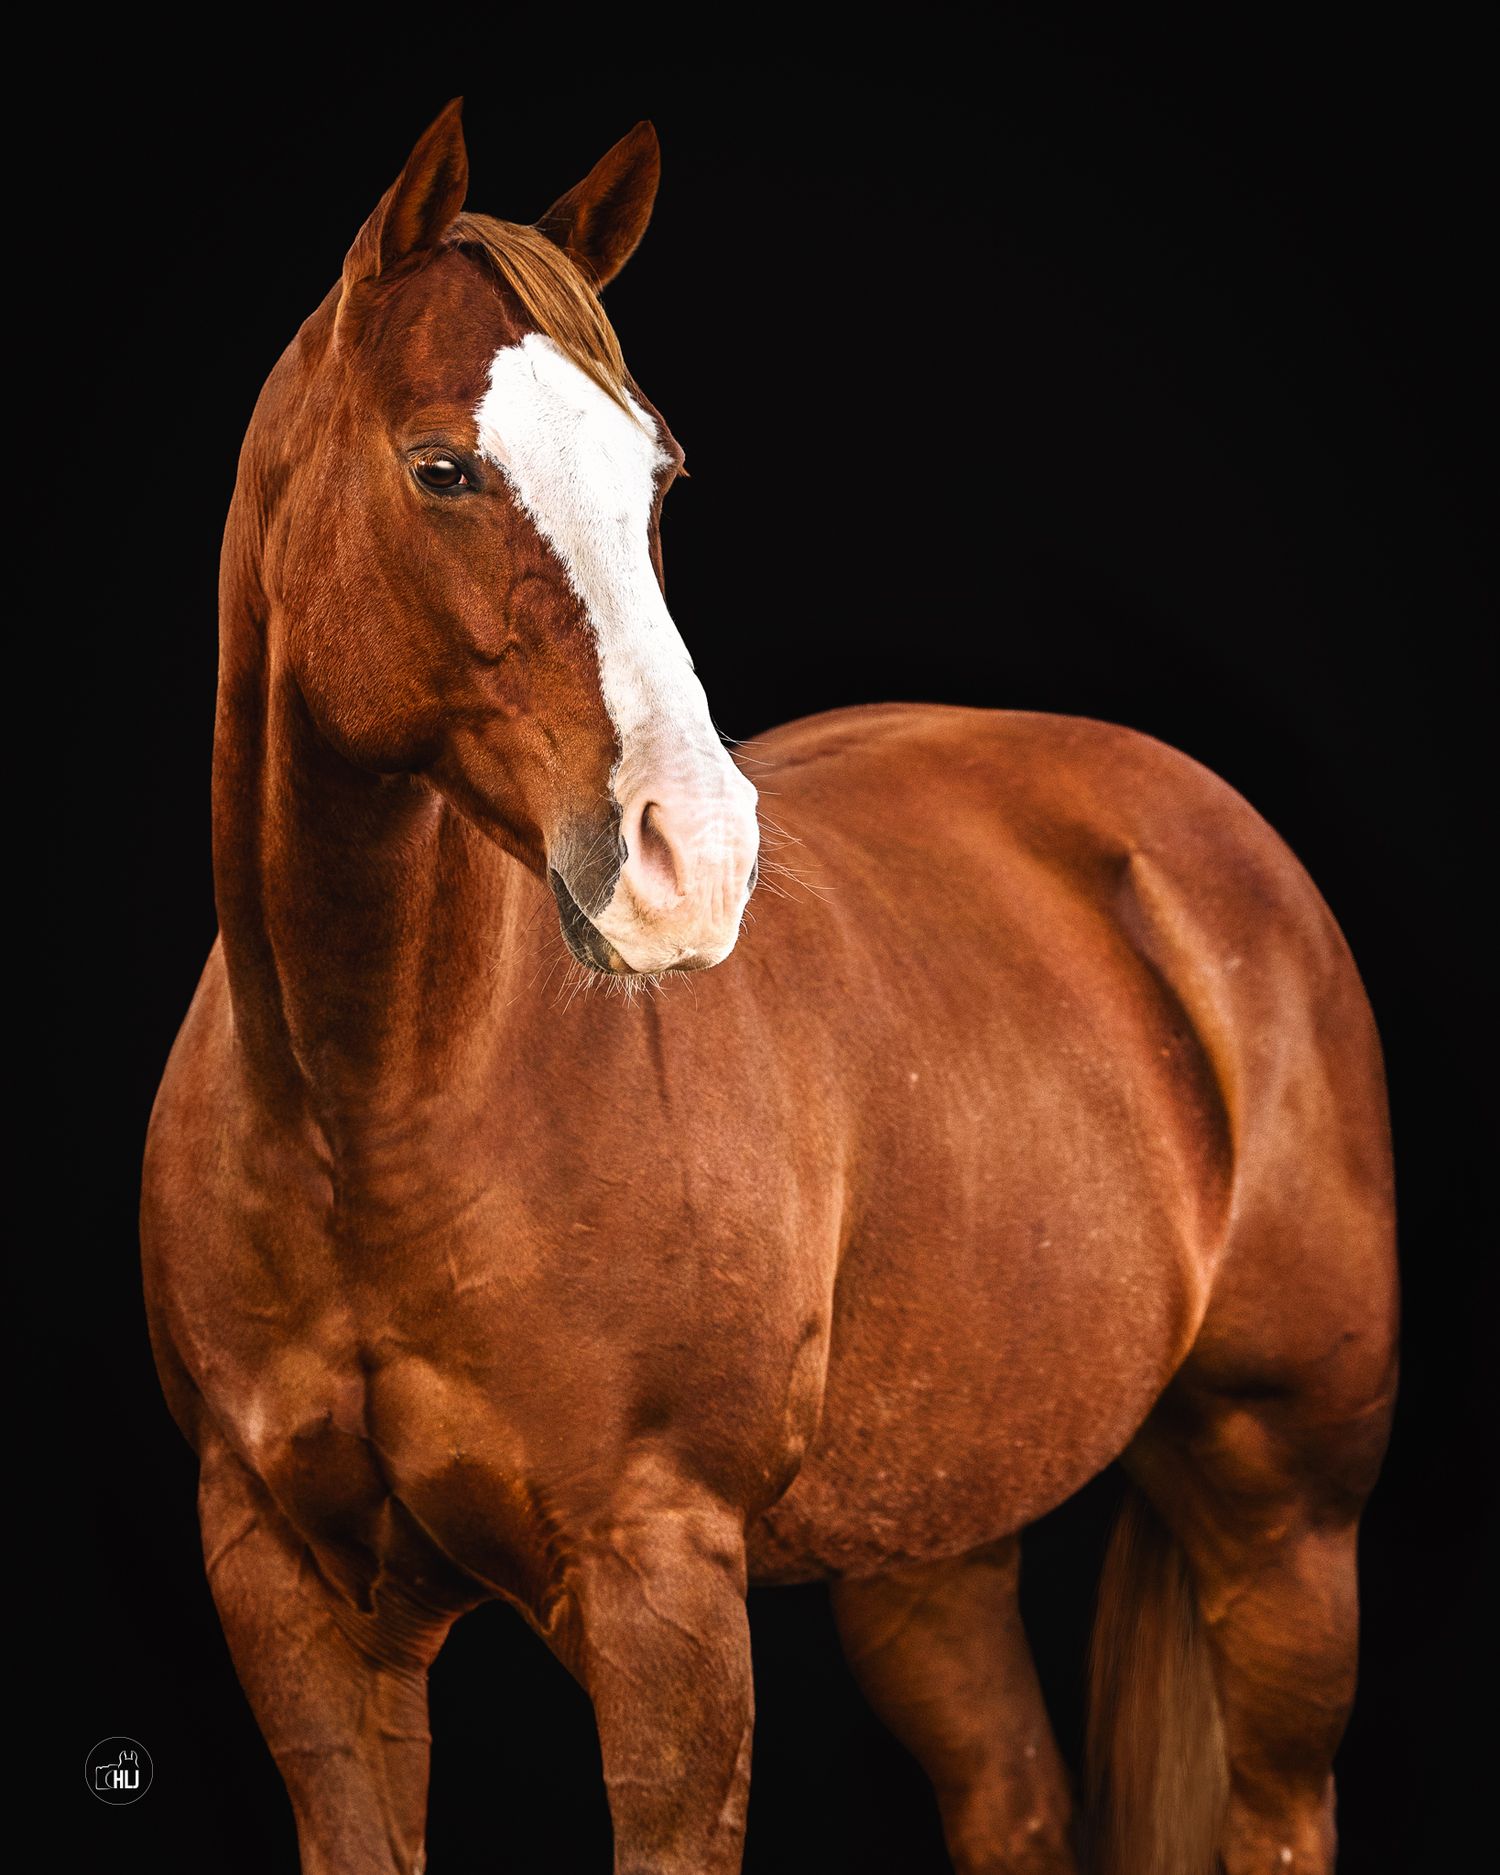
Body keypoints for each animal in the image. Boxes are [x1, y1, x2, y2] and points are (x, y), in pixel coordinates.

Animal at [140, 100, 1399, 1875]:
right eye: (443, 466)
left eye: (658, 472)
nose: (697, 856)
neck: (370, 1112)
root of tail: (1198, 831)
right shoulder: (294, 1603)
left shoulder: (663, 1589)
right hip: (934, 1537)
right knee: (1013, 1795)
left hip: (1285, 1516)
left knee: (1279, 1801)